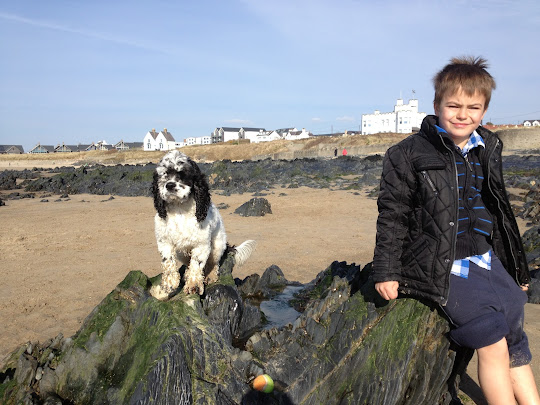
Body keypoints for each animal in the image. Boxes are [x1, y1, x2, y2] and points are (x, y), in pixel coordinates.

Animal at [149, 150, 256, 298]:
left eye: (183, 175)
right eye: (163, 175)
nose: (169, 185)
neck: (180, 210)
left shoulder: (201, 245)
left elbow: (197, 264)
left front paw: (193, 285)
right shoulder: (164, 242)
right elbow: (168, 262)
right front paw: (169, 284)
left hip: (217, 246)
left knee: (213, 263)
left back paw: (210, 276)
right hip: (182, 253)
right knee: (187, 263)